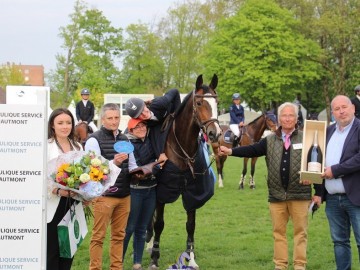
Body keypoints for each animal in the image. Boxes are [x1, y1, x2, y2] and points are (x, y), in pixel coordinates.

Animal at [148, 74, 221, 270]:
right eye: (199, 103)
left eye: (217, 102)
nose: (215, 133)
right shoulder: (161, 192)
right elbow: (159, 223)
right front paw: (155, 258)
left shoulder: (193, 192)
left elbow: (191, 225)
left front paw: (190, 257)